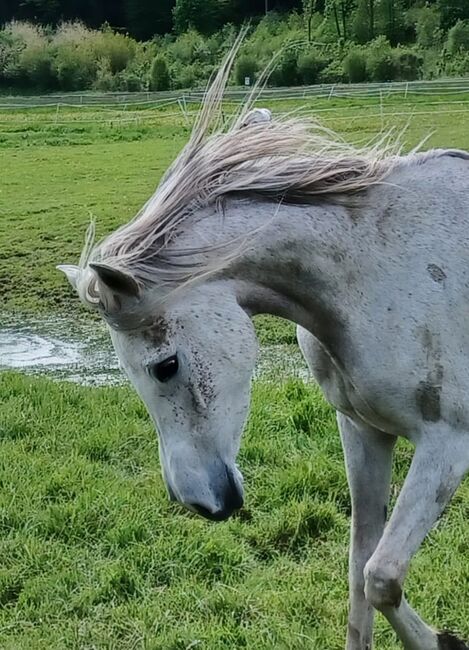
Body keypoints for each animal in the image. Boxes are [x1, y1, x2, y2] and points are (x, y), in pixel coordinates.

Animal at [58, 43, 468, 644]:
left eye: (165, 366)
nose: (202, 504)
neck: (377, 269)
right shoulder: (363, 430)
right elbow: (358, 568)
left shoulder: (447, 443)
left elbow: (382, 576)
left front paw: (443, 641)